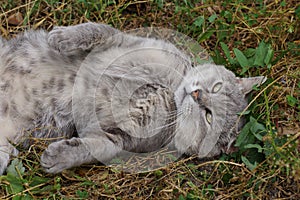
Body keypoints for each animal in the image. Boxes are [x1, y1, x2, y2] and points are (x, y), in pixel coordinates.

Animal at [0, 22, 264, 174]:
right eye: (217, 87)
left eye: (209, 118)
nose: (198, 95)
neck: (169, 90)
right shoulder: (124, 40)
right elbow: (97, 29)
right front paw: (62, 37)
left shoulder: (119, 137)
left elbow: (95, 148)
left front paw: (60, 157)